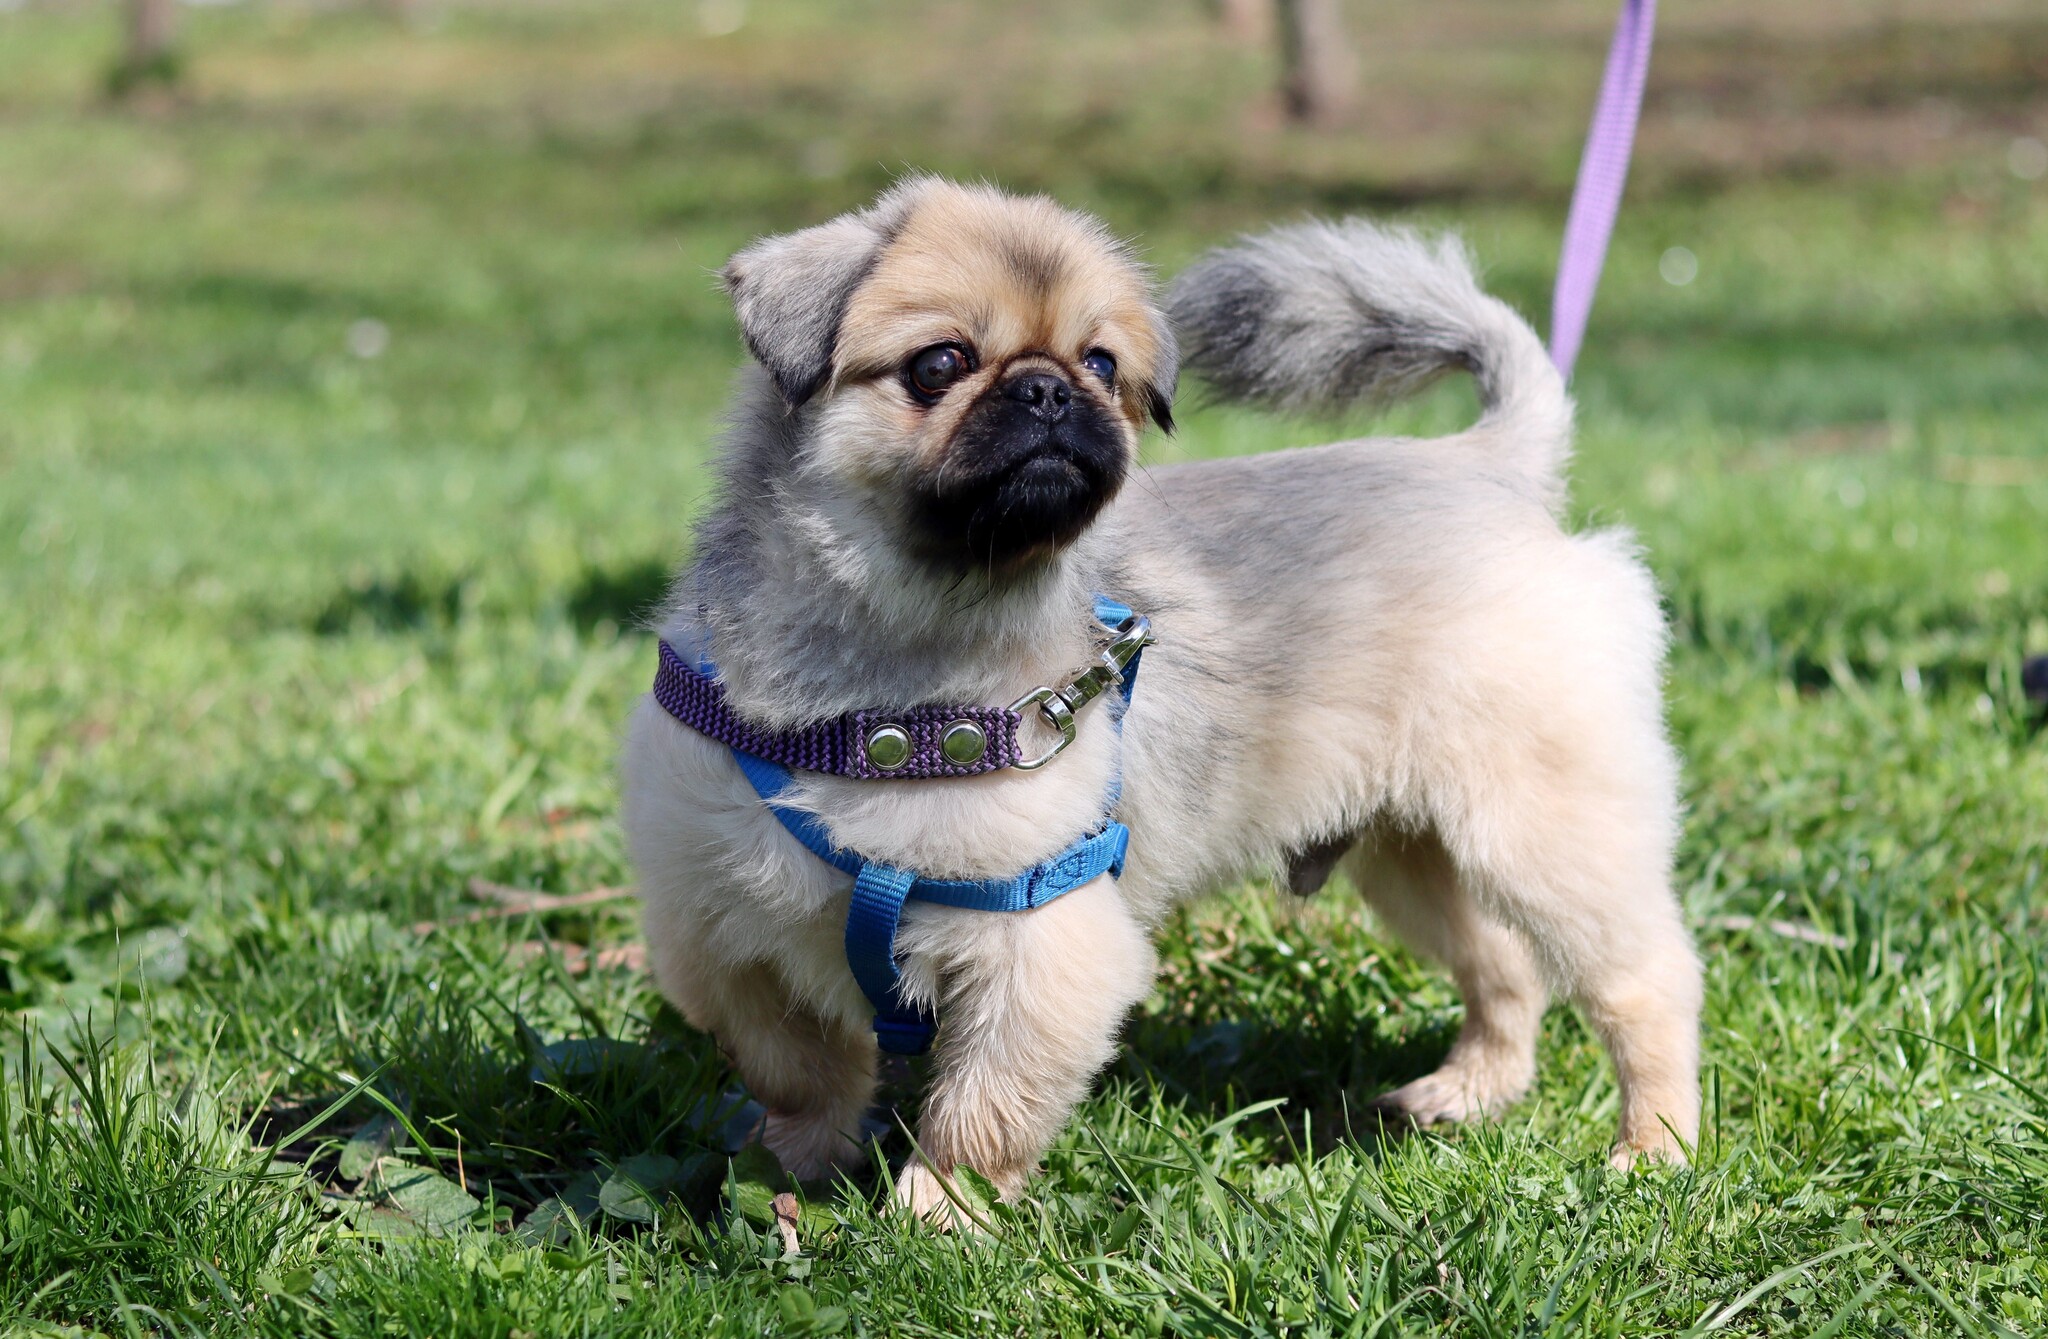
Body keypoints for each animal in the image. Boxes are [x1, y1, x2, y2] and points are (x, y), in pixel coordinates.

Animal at [614, 173, 1703, 1220]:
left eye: (1101, 366)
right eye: (937, 364)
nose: (1050, 391)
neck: (885, 694)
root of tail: (1488, 466)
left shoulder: (1039, 941)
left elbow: (978, 1113)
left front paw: (937, 1220)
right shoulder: (728, 936)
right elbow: (802, 1077)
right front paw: (793, 1182)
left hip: (1541, 835)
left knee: (1646, 982)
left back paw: (1652, 1149)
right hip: (1415, 849)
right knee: (1503, 969)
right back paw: (1468, 1092)